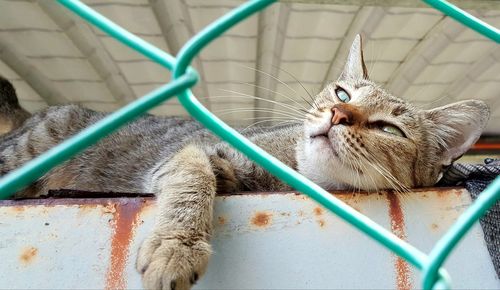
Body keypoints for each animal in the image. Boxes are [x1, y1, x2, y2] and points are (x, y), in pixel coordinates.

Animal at [0, 34, 490, 290]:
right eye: (342, 93)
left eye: (390, 129)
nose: (337, 114)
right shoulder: (196, 151)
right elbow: (192, 181)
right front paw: (177, 245)